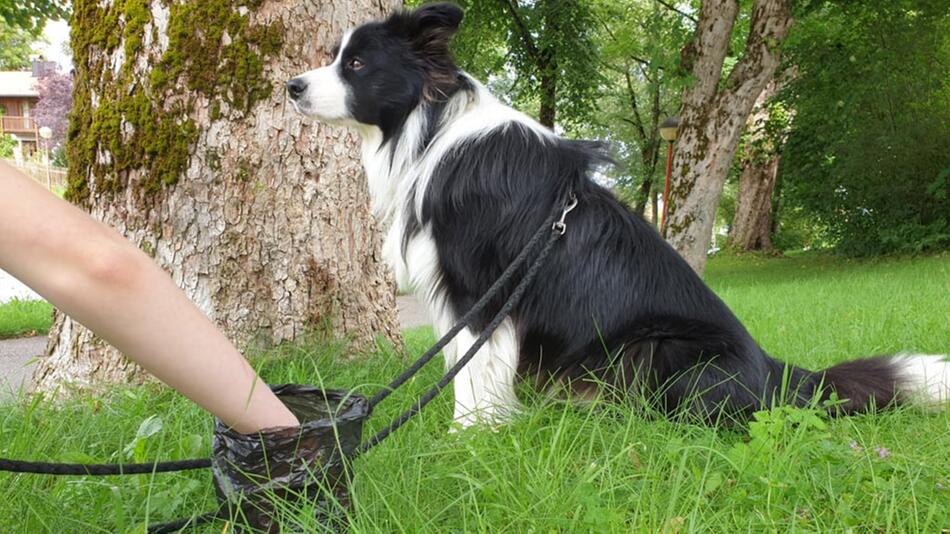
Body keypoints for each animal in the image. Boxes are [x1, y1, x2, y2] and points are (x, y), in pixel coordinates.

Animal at [286, 0, 948, 428]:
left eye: (357, 65)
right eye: (335, 57)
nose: (291, 86)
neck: (431, 127)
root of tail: (779, 374)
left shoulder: (482, 288)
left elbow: (474, 375)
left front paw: (468, 439)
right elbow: (463, 367)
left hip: (657, 349)